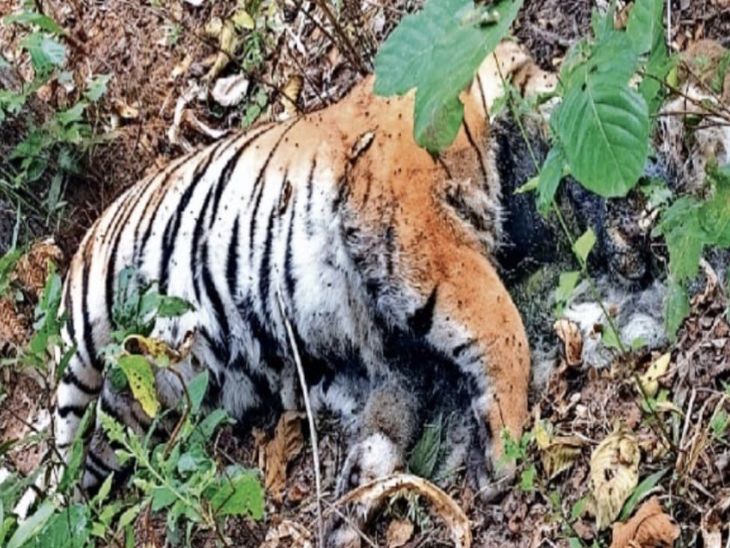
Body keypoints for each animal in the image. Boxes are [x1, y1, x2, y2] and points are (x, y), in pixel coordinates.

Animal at [20, 40, 558, 537]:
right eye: (537, 68)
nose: (558, 81)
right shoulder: (415, 229)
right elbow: (501, 322)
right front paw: (506, 450)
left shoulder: (395, 358)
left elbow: (386, 429)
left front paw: (351, 502)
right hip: (79, 354)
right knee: (54, 474)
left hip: (127, 424)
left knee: (84, 475)